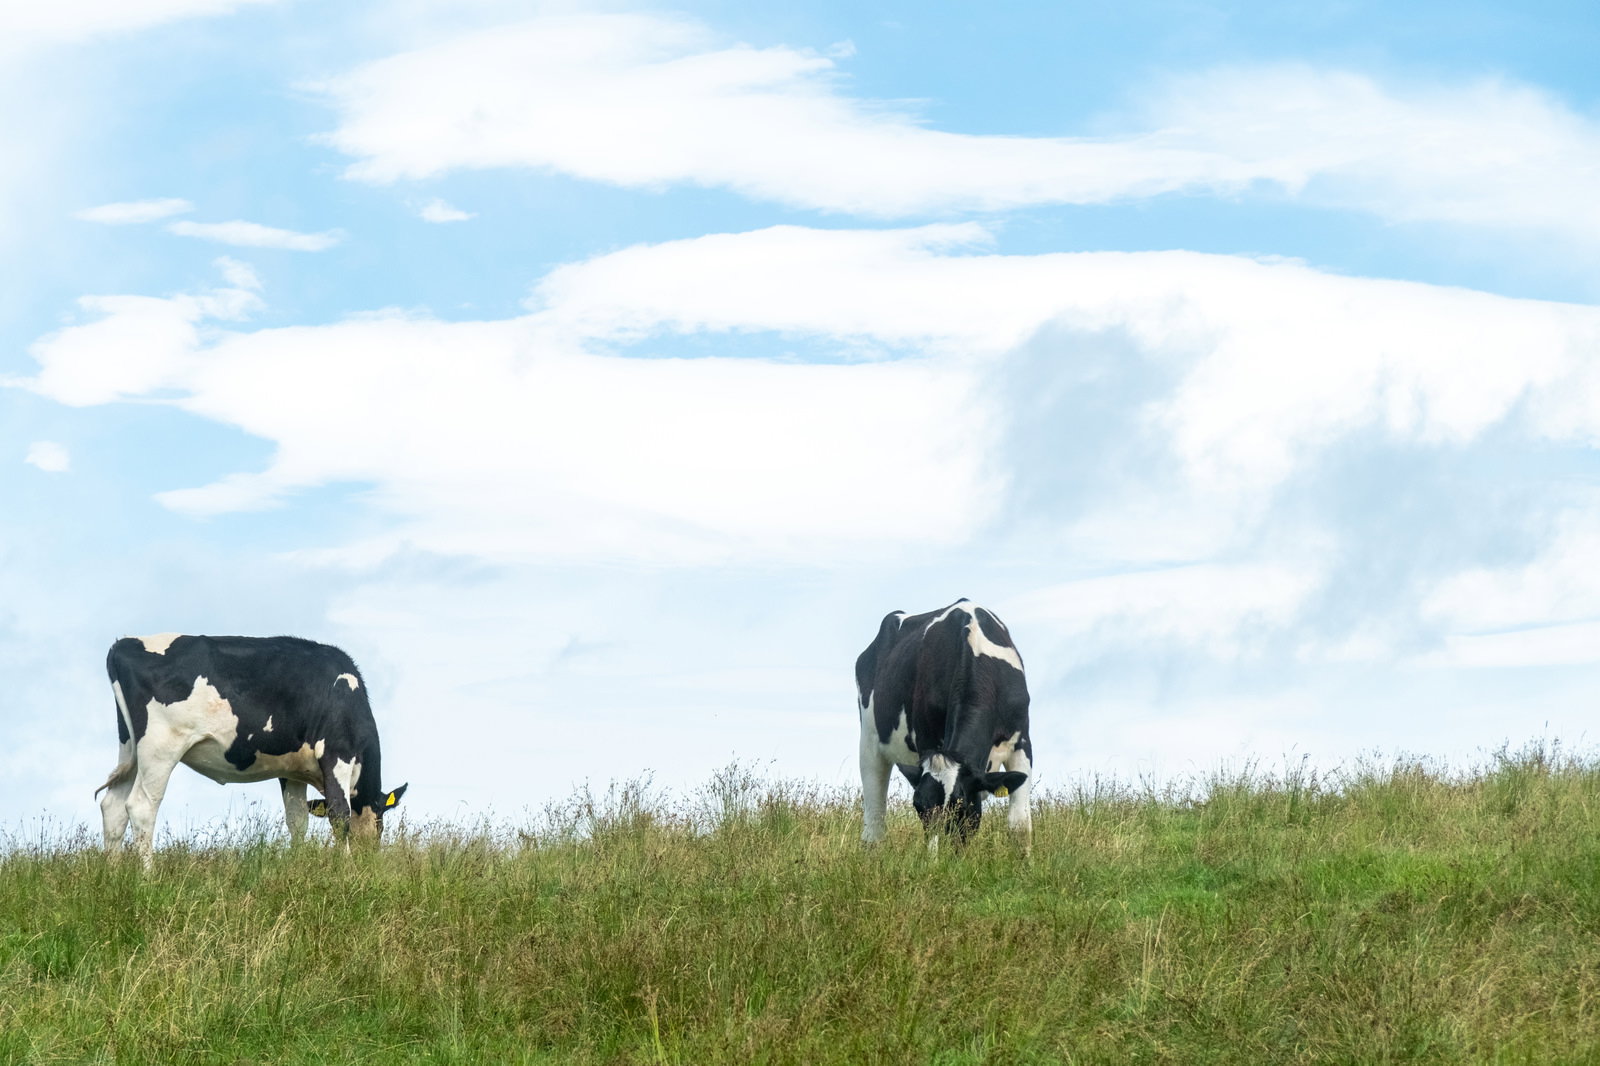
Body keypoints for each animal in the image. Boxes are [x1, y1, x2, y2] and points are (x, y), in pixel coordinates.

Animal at [96, 634, 407, 867]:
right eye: (381, 823)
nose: (371, 858)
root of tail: (123, 644)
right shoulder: (337, 752)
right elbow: (339, 814)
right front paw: (346, 869)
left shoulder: (292, 771)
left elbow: (297, 821)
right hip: (160, 746)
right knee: (141, 806)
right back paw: (148, 878)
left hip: (130, 748)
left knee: (113, 806)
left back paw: (114, 875)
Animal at [856, 599, 1032, 854]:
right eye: (918, 806)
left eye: (961, 807)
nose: (940, 860)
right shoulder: (926, 739)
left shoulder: (1022, 742)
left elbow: (1019, 825)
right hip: (869, 742)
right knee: (874, 818)